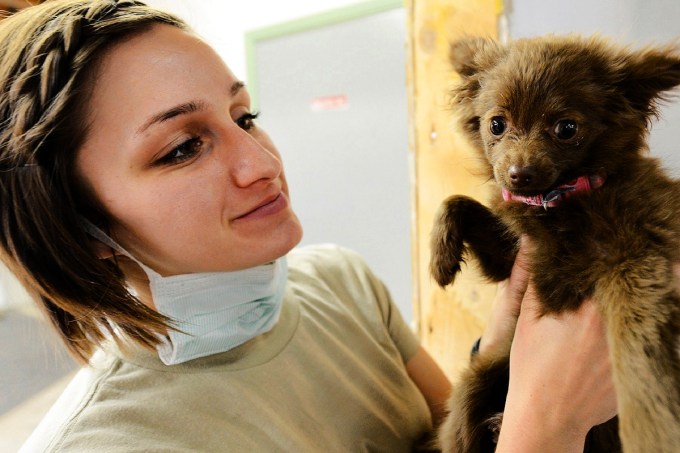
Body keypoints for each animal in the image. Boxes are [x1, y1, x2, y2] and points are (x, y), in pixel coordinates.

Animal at [430, 36, 680, 452]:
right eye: (496, 124)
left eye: (566, 128)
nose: (519, 174)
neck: (560, 202)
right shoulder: (511, 258)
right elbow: (458, 202)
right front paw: (440, 257)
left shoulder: (640, 260)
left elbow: (635, 342)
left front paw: (650, 428)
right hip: (477, 380)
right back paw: (497, 425)